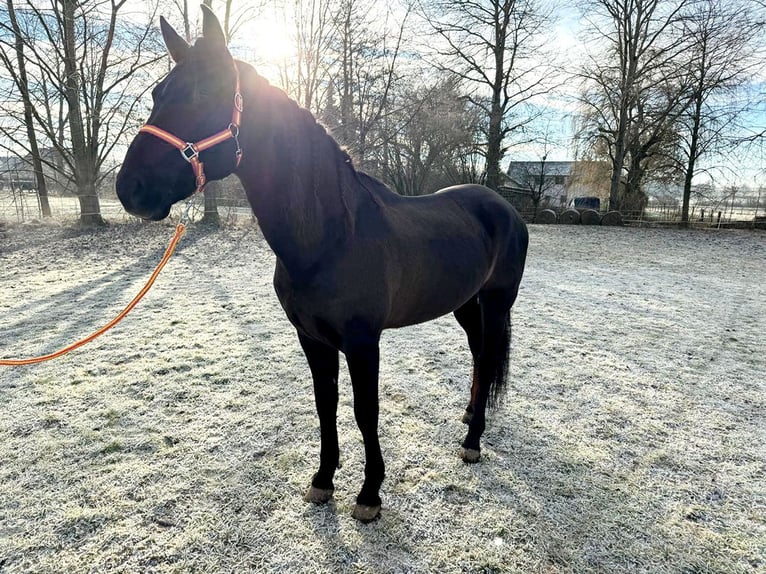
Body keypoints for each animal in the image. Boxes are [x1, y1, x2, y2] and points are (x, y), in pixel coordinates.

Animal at [118, 6, 528, 524]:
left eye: (202, 93)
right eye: (157, 93)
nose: (130, 188)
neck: (331, 238)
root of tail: (504, 207)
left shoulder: (363, 341)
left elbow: (364, 411)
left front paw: (370, 494)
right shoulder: (312, 338)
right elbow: (324, 404)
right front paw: (323, 480)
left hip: (495, 303)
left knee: (488, 354)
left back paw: (472, 442)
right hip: (464, 304)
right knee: (478, 354)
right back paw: (470, 418)